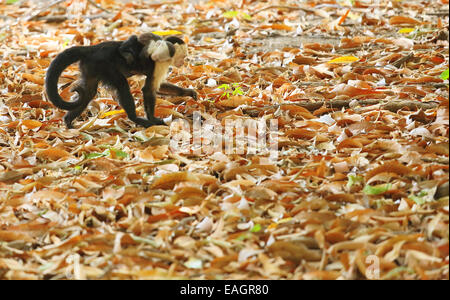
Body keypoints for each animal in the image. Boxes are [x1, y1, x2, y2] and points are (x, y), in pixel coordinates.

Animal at [45, 33, 197, 128]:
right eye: (183, 56)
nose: (183, 62)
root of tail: (93, 48)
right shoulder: (162, 59)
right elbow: (148, 89)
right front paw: (152, 119)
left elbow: (159, 86)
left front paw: (188, 92)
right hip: (104, 64)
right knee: (122, 85)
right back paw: (135, 118)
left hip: (91, 66)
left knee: (88, 93)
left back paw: (68, 121)